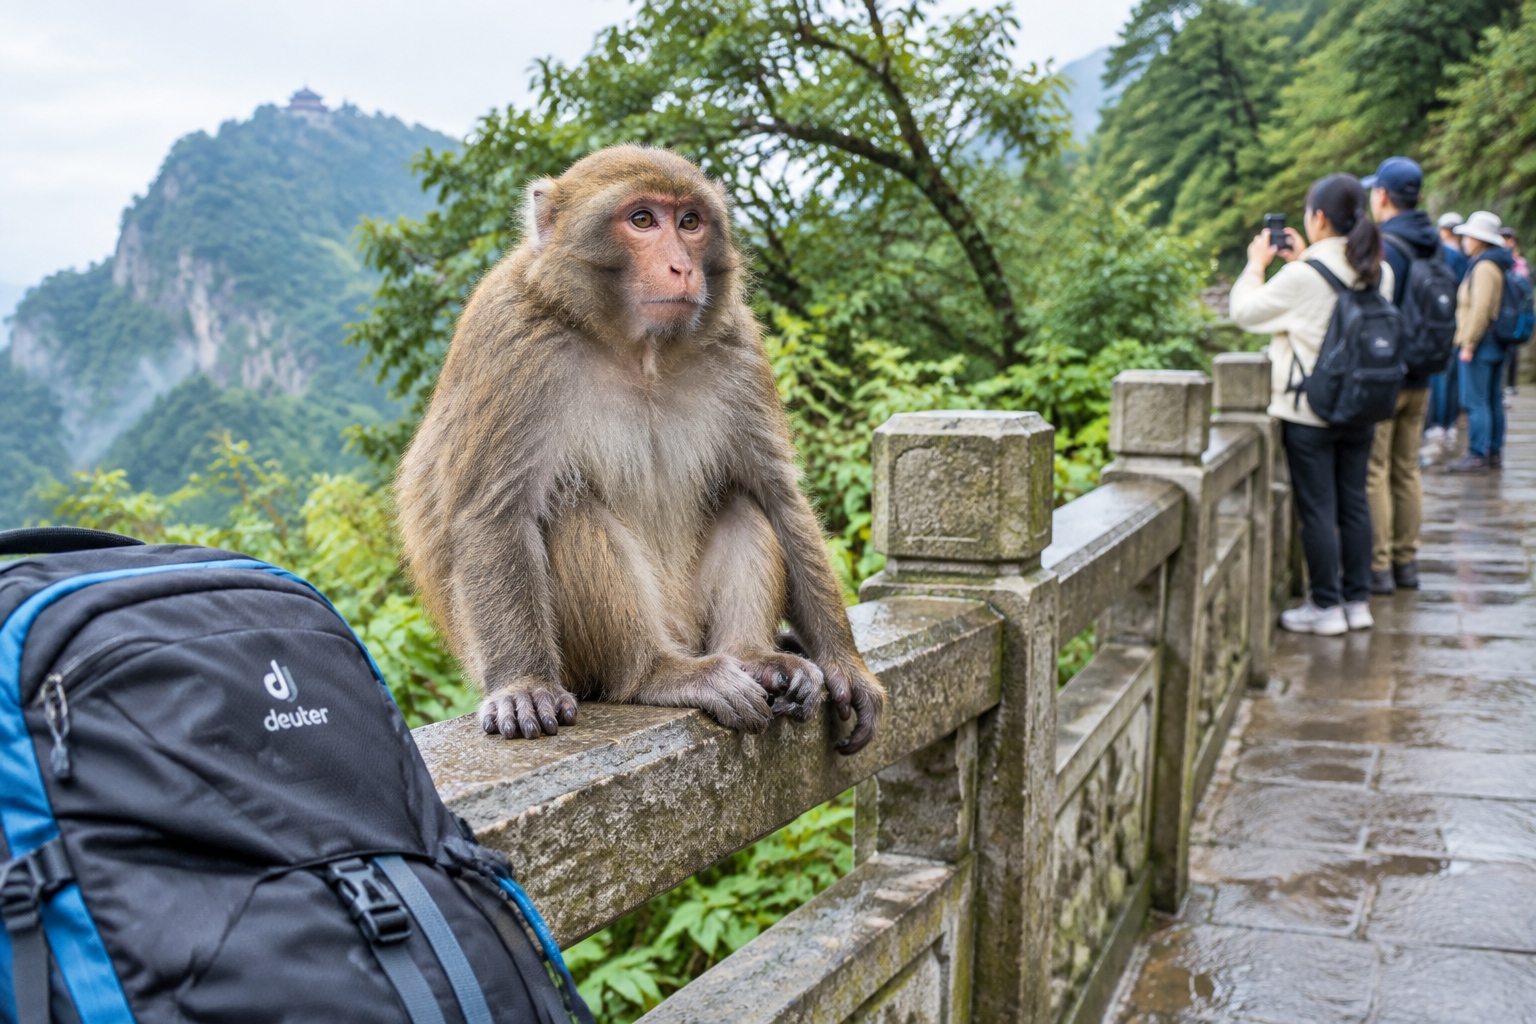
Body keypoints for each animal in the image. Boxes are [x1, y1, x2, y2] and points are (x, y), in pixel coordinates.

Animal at [394, 145, 885, 755]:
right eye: (643, 220)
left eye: (690, 222)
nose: (682, 266)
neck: (639, 349)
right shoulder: (511, 340)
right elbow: (494, 512)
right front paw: (522, 684)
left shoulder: (738, 344)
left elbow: (778, 494)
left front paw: (846, 665)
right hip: (591, 659)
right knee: (567, 511)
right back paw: (655, 673)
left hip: (692, 621)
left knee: (742, 500)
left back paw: (757, 659)